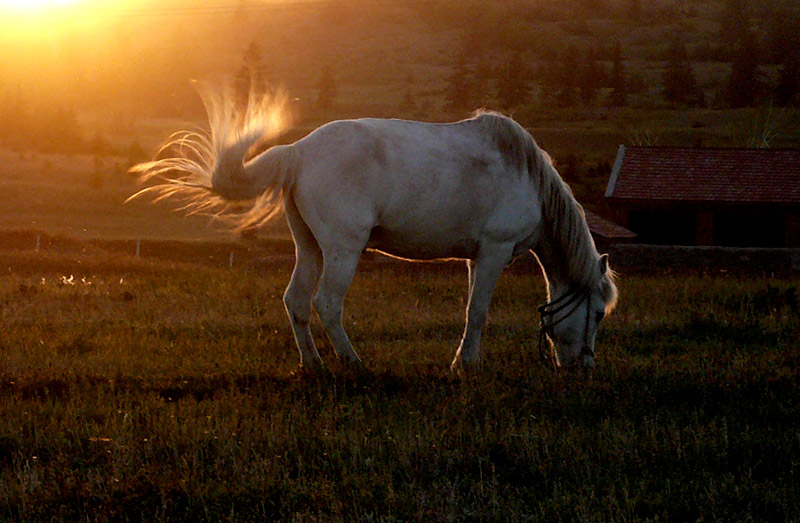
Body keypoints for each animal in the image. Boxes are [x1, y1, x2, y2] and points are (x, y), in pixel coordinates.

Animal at [131, 88, 620, 370]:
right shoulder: (493, 253)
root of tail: (299, 151)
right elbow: (477, 312)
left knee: (296, 302)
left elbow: (471, 310)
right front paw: (466, 366)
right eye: (597, 313)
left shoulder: (475, 258)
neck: (526, 177)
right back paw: (354, 364)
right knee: (327, 304)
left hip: (310, 248)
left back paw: (315, 367)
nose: (583, 369)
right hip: (342, 251)